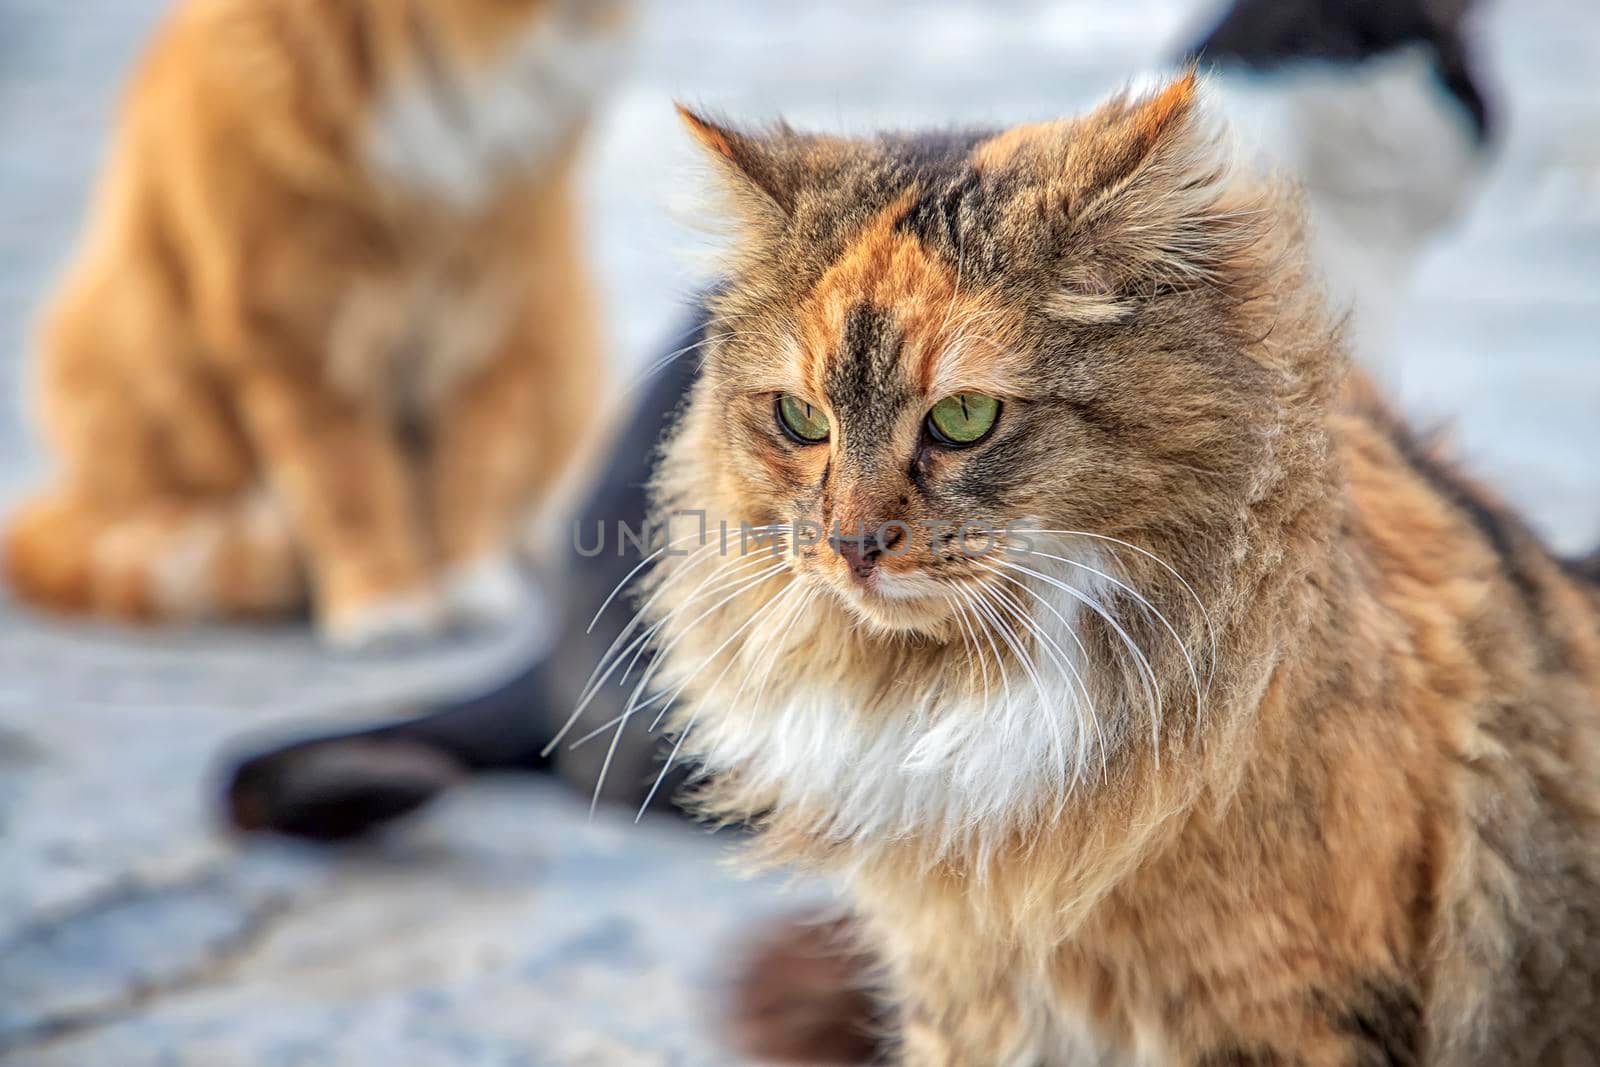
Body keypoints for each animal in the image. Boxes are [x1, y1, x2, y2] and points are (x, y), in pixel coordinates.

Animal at [3, 0, 620, 646]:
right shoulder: (292, 327)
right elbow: (345, 481)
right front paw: (385, 601)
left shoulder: (498, 304)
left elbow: (473, 464)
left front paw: (466, 582)